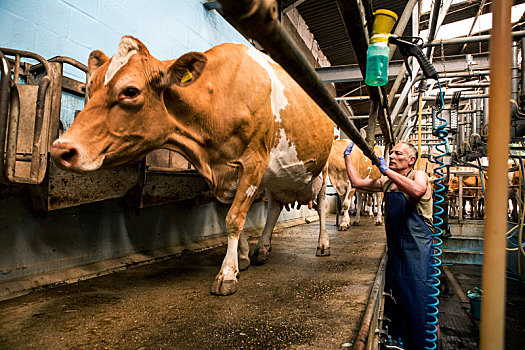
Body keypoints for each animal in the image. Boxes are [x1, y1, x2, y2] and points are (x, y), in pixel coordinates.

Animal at [51, 36, 334, 296]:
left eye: (130, 91)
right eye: (91, 86)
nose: (60, 149)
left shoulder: (254, 161)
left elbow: (235, 218)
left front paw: (226, 273)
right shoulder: (224, 175)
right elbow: (230, 215)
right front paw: (242, 258)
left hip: (322, 169)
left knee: (321, 206)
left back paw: (323, 244)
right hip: (276, 178)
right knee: (274, 207)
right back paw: (262, 249)